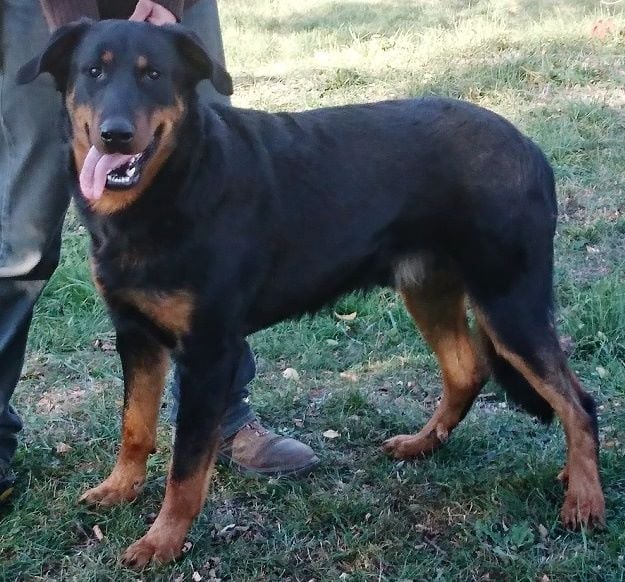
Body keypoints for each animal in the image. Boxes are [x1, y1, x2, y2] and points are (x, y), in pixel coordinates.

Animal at [18, 19, 605, 568]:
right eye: (93, 72)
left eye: (154, 75)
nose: (115, 135)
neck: (171, 187)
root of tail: (530, 148)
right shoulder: (135, 336)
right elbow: (134, 427)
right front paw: (120, 488)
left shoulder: (209, 353)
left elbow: (185, 467)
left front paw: (162, 541)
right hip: (429, 290)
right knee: (467, 371)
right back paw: (423, 444)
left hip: (509, 303)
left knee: (577, 403)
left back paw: (584, 499)